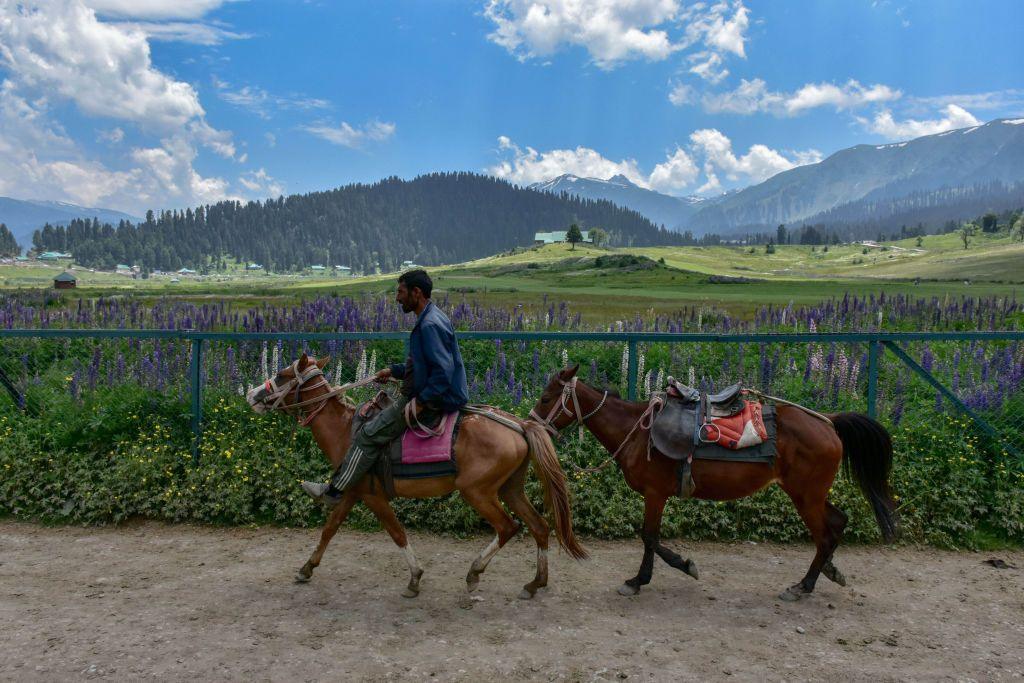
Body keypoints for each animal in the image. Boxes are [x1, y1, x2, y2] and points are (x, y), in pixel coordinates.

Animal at [245, 356, 585, 602]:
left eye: (282, 375)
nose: (252, 394)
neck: (347, 430)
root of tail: (519, 426)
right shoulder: (353, 492)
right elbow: (329, 530)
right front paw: (307, 568)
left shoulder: (373, 497)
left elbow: (397, 534)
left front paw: (414, 578)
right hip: (511, 489)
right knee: (539, 527)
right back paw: (535, 583)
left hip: (478, 492)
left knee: (508, 527)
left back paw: (475, 572)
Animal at [528, 366, 897, 602]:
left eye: (546, 398)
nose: (531, 424)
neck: (636, 431)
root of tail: (829, 422)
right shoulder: (657, 495)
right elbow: (653, 538)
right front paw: (680, 567)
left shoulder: (655, 494)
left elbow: (649, 537)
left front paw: (640, 579)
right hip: (811, 494)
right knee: (837, 523)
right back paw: (829, 572)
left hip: (806, 496)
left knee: (825, 535)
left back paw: (802, 586)